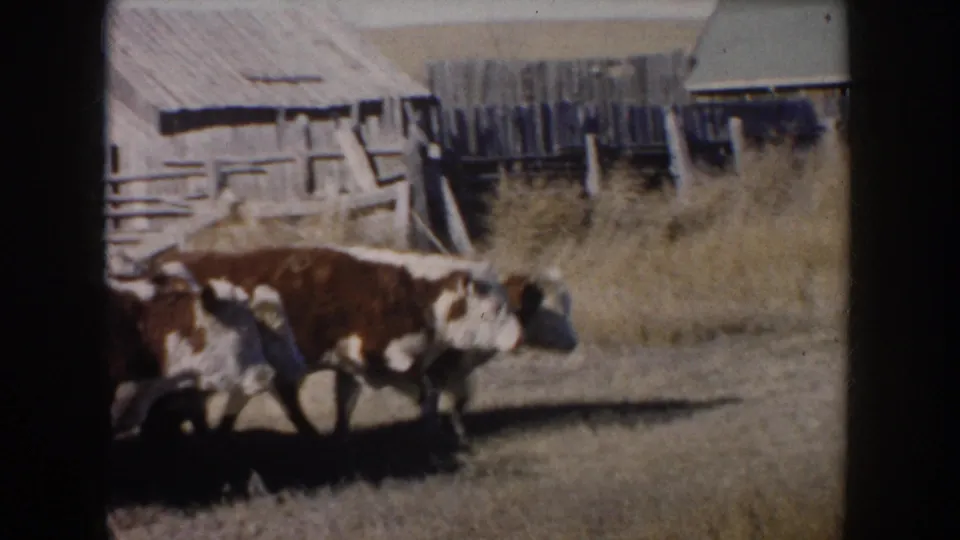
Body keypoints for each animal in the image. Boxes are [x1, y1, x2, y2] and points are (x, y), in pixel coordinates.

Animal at [144, 246, 524, 441]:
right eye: (493, 308)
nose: (518, 337)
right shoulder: (377, 359)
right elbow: (426, 390)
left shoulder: (350, 366)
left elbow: (345, 400)